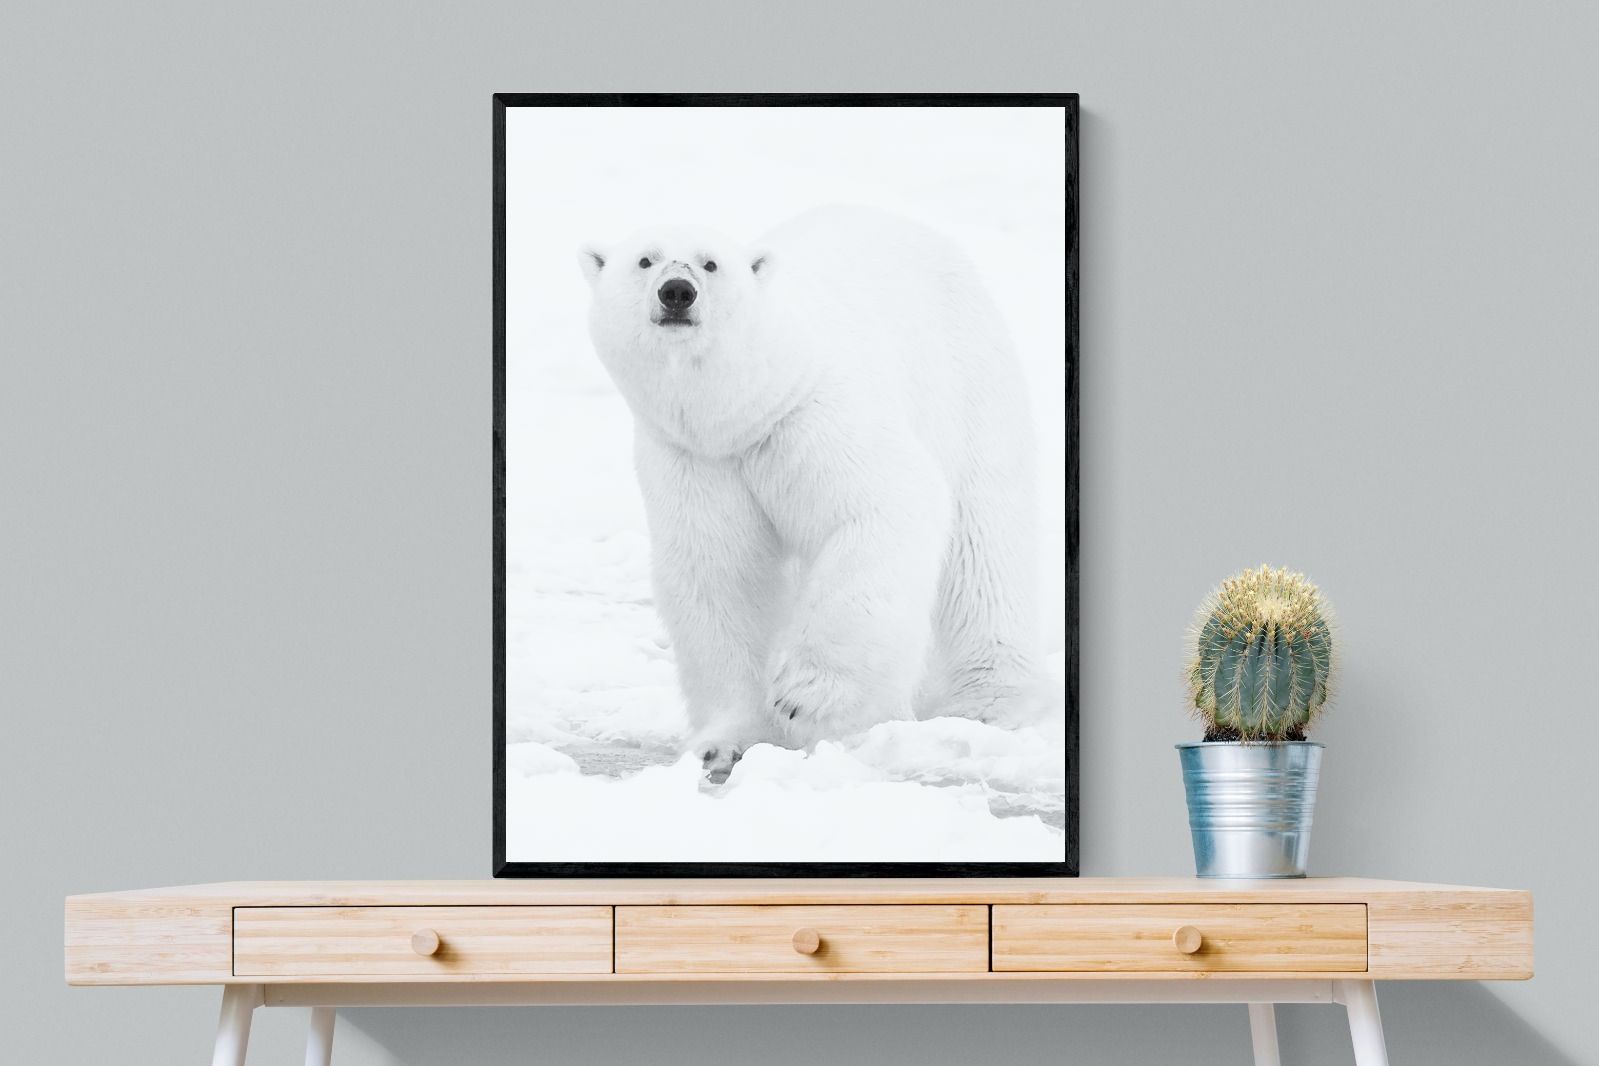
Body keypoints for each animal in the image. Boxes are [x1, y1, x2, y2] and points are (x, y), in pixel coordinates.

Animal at [579, 206, 1046, 782]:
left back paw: (985, 704)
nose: (676, 292)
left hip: (970, 382)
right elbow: (719, 574)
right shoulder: (697, 459)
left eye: (710, 264)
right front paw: (725, 743)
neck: (745, 411)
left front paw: (807, 696)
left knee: (985, 545)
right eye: (645, 260)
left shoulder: (812, 415)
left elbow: (883, 504)